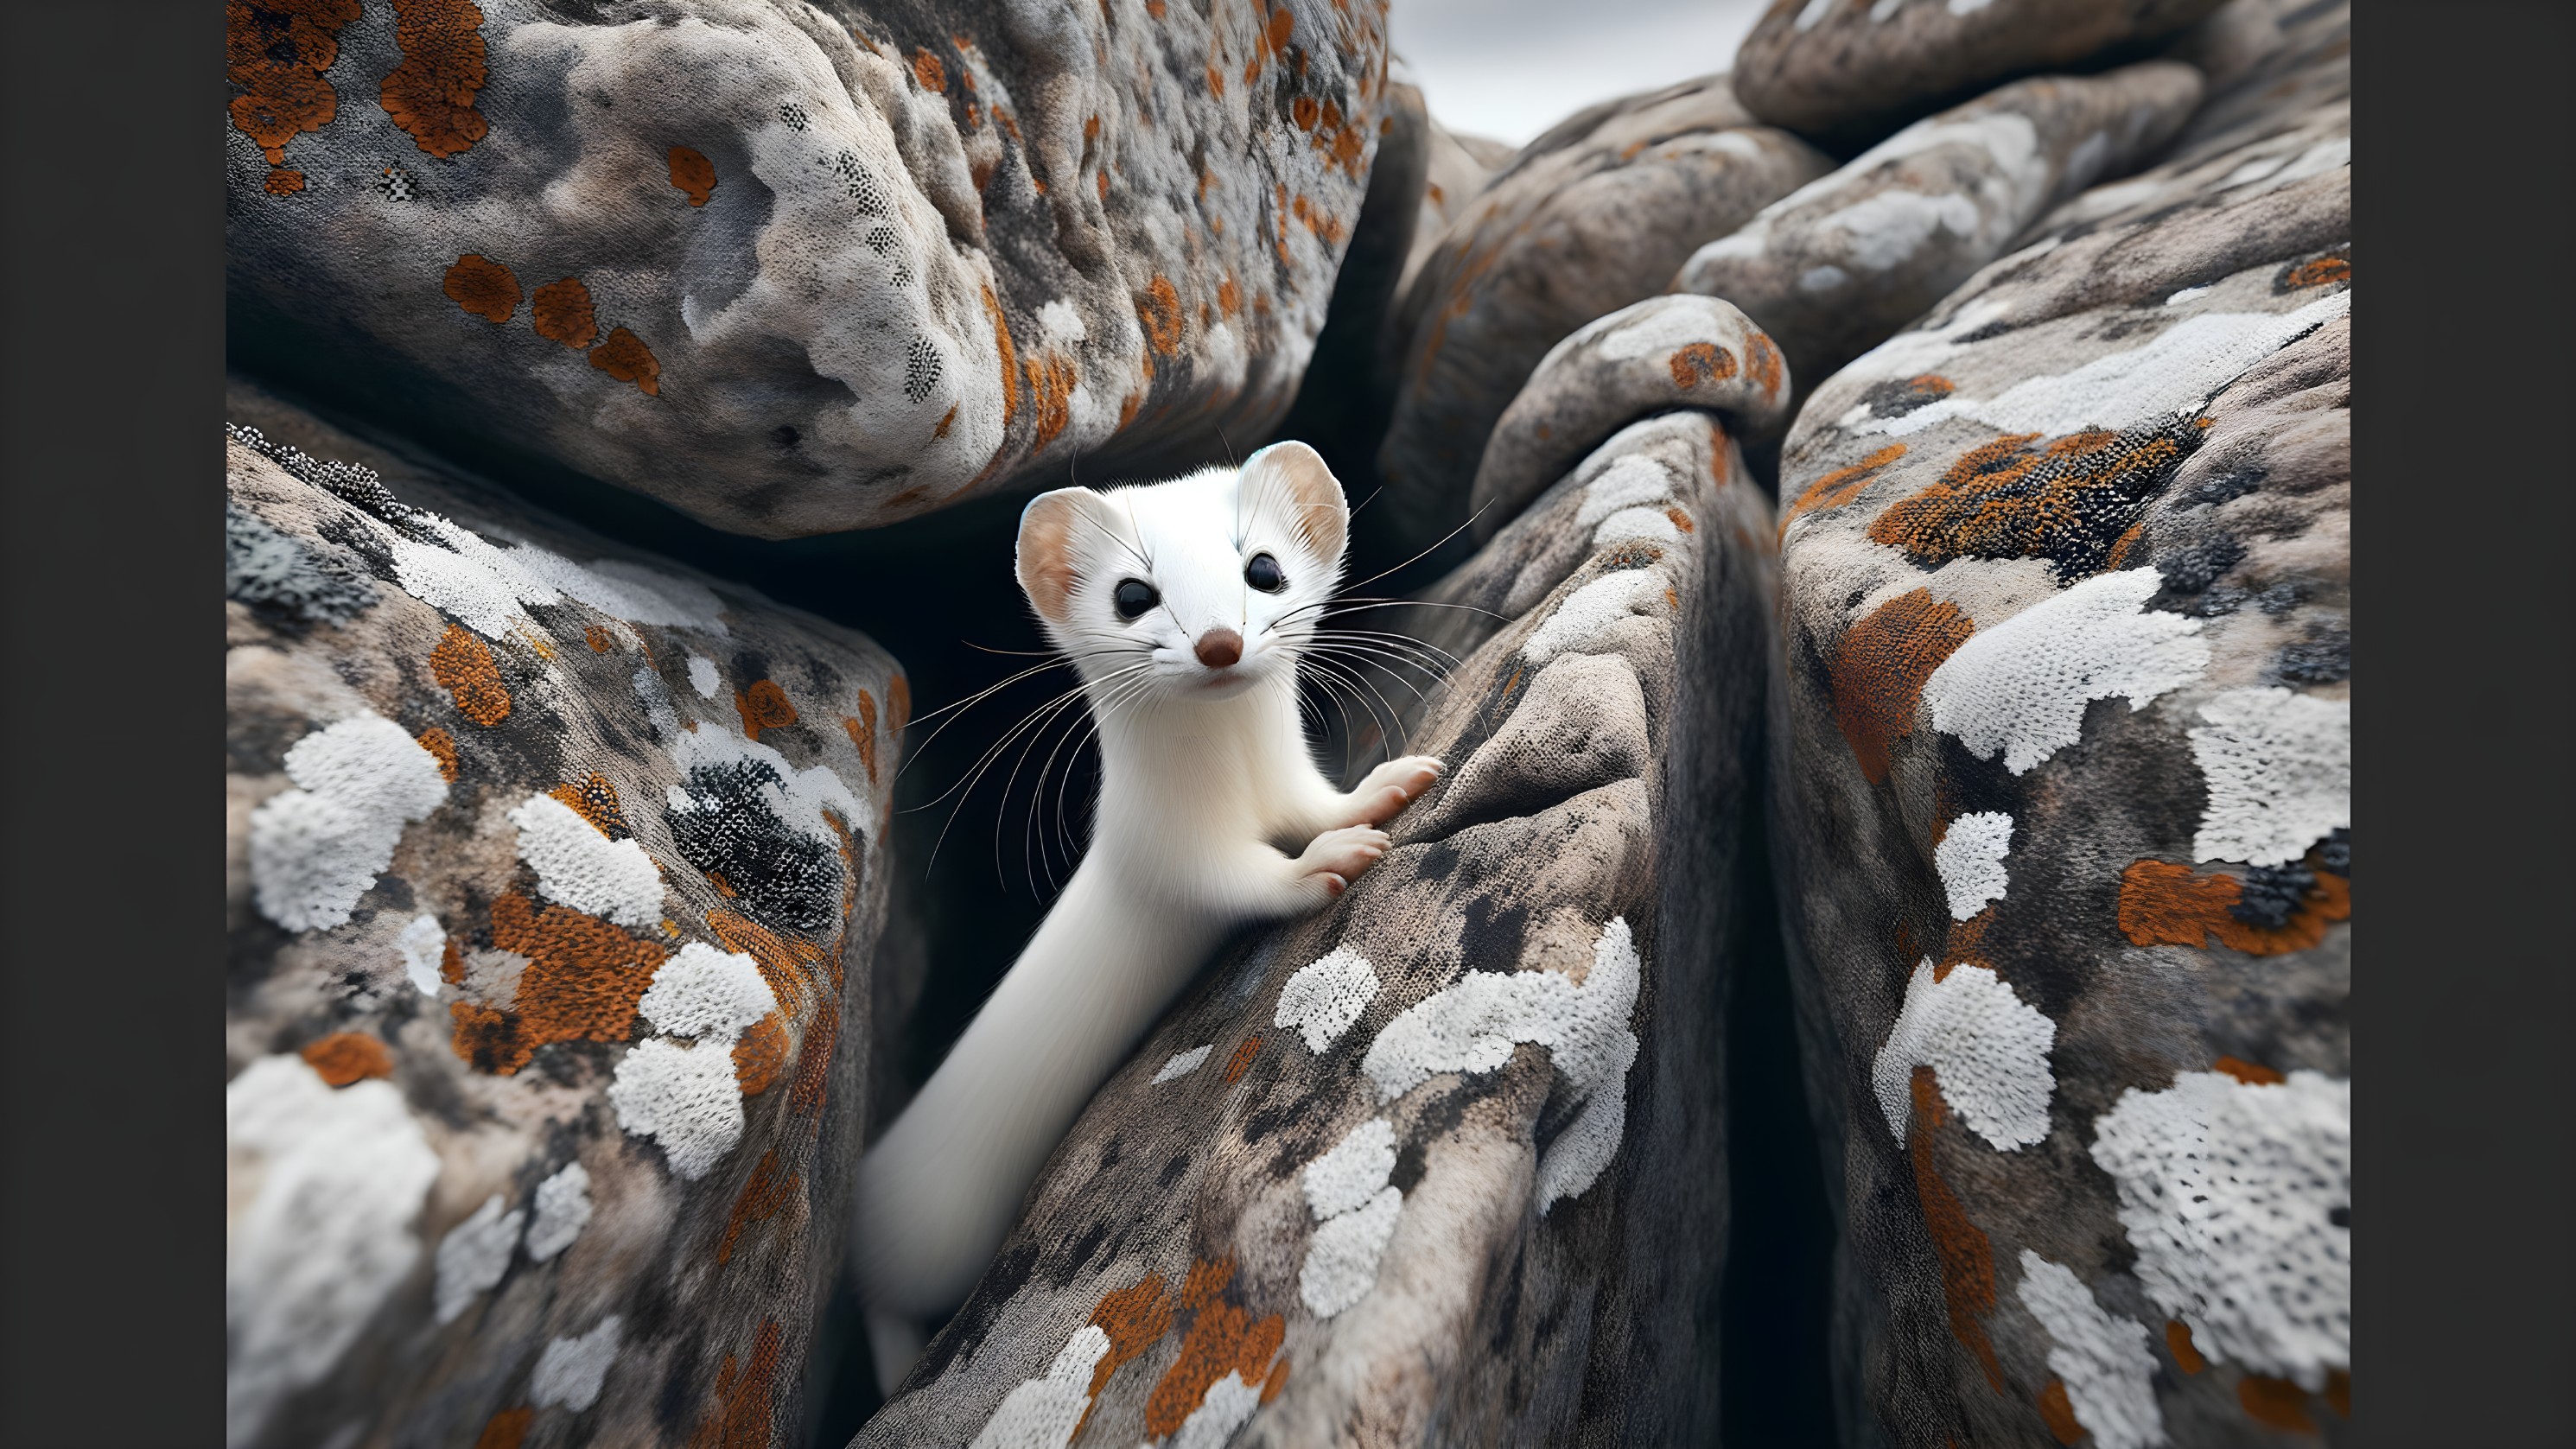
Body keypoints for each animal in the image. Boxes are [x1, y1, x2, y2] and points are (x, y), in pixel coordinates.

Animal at [855, 445, 1442, 1389]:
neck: (1241, 784)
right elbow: (1243, 881)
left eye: (1263, 568)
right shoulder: (1171, 854)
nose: (1217, 641)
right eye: (1133, 592)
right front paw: (1328, 859)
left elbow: (1320, 803)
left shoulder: (1290, 785)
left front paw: (1387, 786)